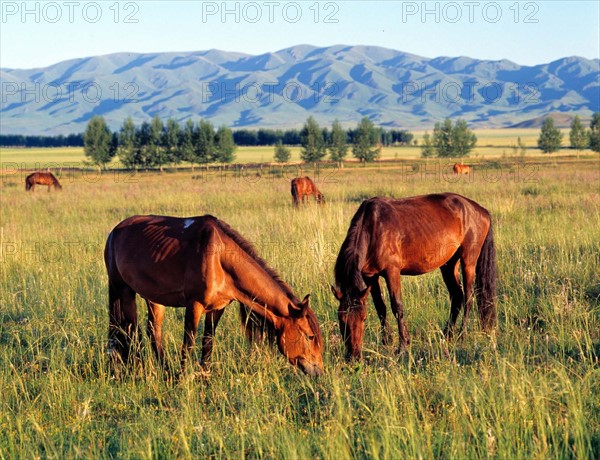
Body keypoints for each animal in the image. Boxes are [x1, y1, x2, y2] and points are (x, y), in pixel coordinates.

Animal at [105, 214, 326, 376]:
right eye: (310, 336)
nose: (319, 372)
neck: (218, 256)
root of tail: (115, 232)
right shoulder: (194, 305)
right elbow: (188, 344)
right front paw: (182, 380)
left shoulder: (217, 308)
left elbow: (207, 343)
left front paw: (205, 377)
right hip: (123, 289)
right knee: (130, 331)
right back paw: (138, 368)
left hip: (153, 298)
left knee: (153, 331)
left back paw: (164, 370)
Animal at [330, 192, 494, 362]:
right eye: (341, 319)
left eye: (363, 318)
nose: (354, 356)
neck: (372, 229)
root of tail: (482, 210)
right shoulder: (370, 275)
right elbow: (380, 307)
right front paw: (387, 340)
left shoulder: (392, 271)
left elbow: (397, 306)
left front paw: (403, 345)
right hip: (448, 264)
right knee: (457, 296)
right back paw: (447, 335)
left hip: (468, 261)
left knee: (468, 297)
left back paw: (462, 334)